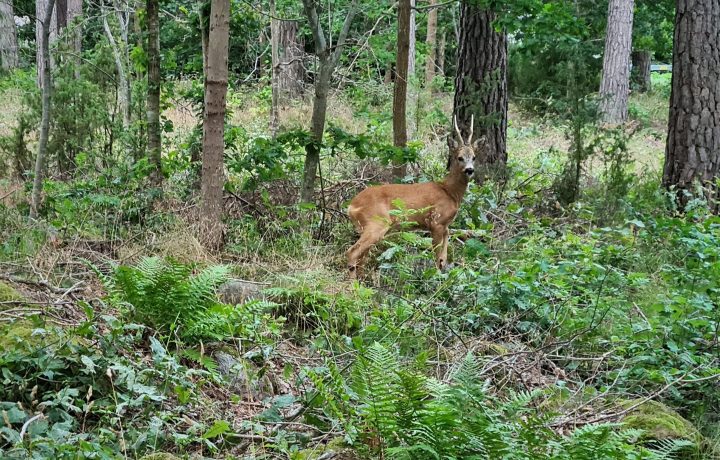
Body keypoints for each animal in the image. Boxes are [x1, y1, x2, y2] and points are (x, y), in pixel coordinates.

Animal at [348, 117, 486, 278]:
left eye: (474, 157)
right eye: (460, 158)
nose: (470, 170)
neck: (450, 191)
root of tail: (351, 206)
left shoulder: (446, 227)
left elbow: (443, 258)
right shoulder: (436, 222)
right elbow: (436, 257)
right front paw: (434, 278)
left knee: (361, 258)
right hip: (377, 222)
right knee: (352, 252)